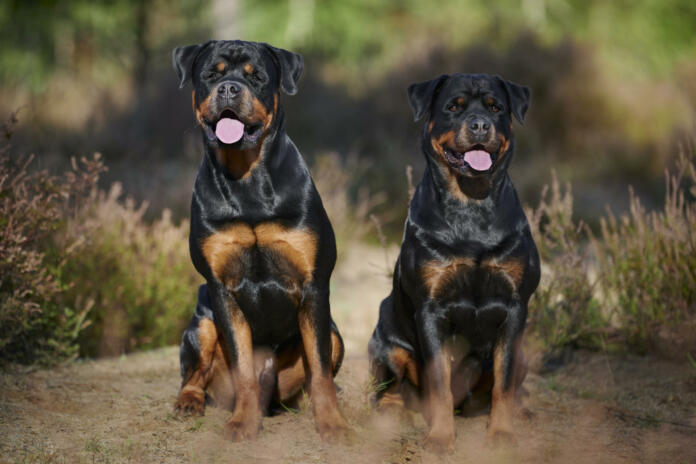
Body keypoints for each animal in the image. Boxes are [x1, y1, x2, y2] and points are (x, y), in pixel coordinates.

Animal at [172, 40, 348, 442]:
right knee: (194, 374)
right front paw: (242, 423)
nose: (229, 89)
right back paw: (188, 402)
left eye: (257, 78)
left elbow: (319, 368)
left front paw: (332, 423)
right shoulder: (221, 288)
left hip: (336, 334)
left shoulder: (314, 285)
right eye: (212, 74)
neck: (246, 177)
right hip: (201, 324)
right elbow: (243, 368)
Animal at [368, 73, 540, 454]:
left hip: (523, 350)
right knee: (390, 386)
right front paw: (440, 438)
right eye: (453, 107)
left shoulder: (514, 307)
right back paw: (393, 412)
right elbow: (439, 381)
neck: (471, 203)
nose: (480, 125)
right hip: (386, 339)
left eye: (495, 107)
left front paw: (501, 434)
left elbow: (504, 382)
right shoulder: (431, 309)